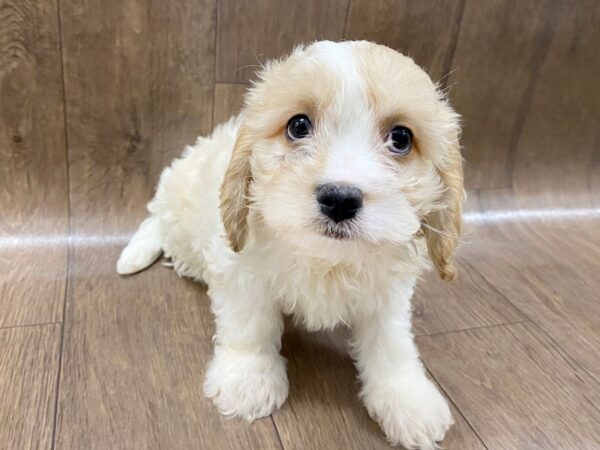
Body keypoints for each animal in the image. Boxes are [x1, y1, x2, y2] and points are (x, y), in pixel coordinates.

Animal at [117, 40, 464, 448]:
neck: (325, 258)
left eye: (401, 138)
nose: (340, 199)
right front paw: (247, 379)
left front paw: (407, 398)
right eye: (298, 126)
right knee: (159, 219)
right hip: (178, 203)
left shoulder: (388, 291)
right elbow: (249, 325)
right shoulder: (241, 270)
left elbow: (391, 341)